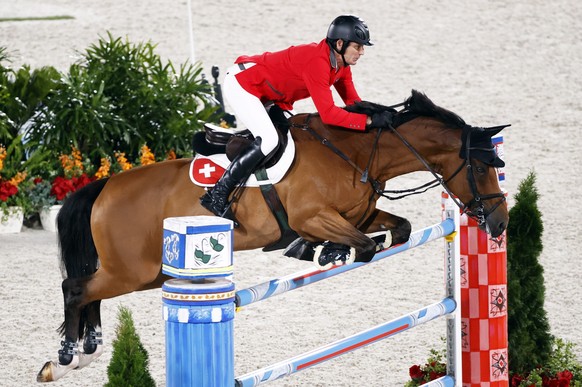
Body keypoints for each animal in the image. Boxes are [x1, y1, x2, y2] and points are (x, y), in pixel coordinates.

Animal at [37, 90, 512, 382]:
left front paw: (327, 250)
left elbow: (394, 230)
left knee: (90, 294)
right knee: (76, 288)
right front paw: (322, 249)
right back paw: (64, 359)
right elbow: (362, 246)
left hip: (146, 273)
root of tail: (105, 187)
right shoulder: (313, 215)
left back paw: (86, 353)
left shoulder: (358, 213)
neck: (358, 152)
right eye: (481, 166)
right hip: (135, 271)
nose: (500, 223)